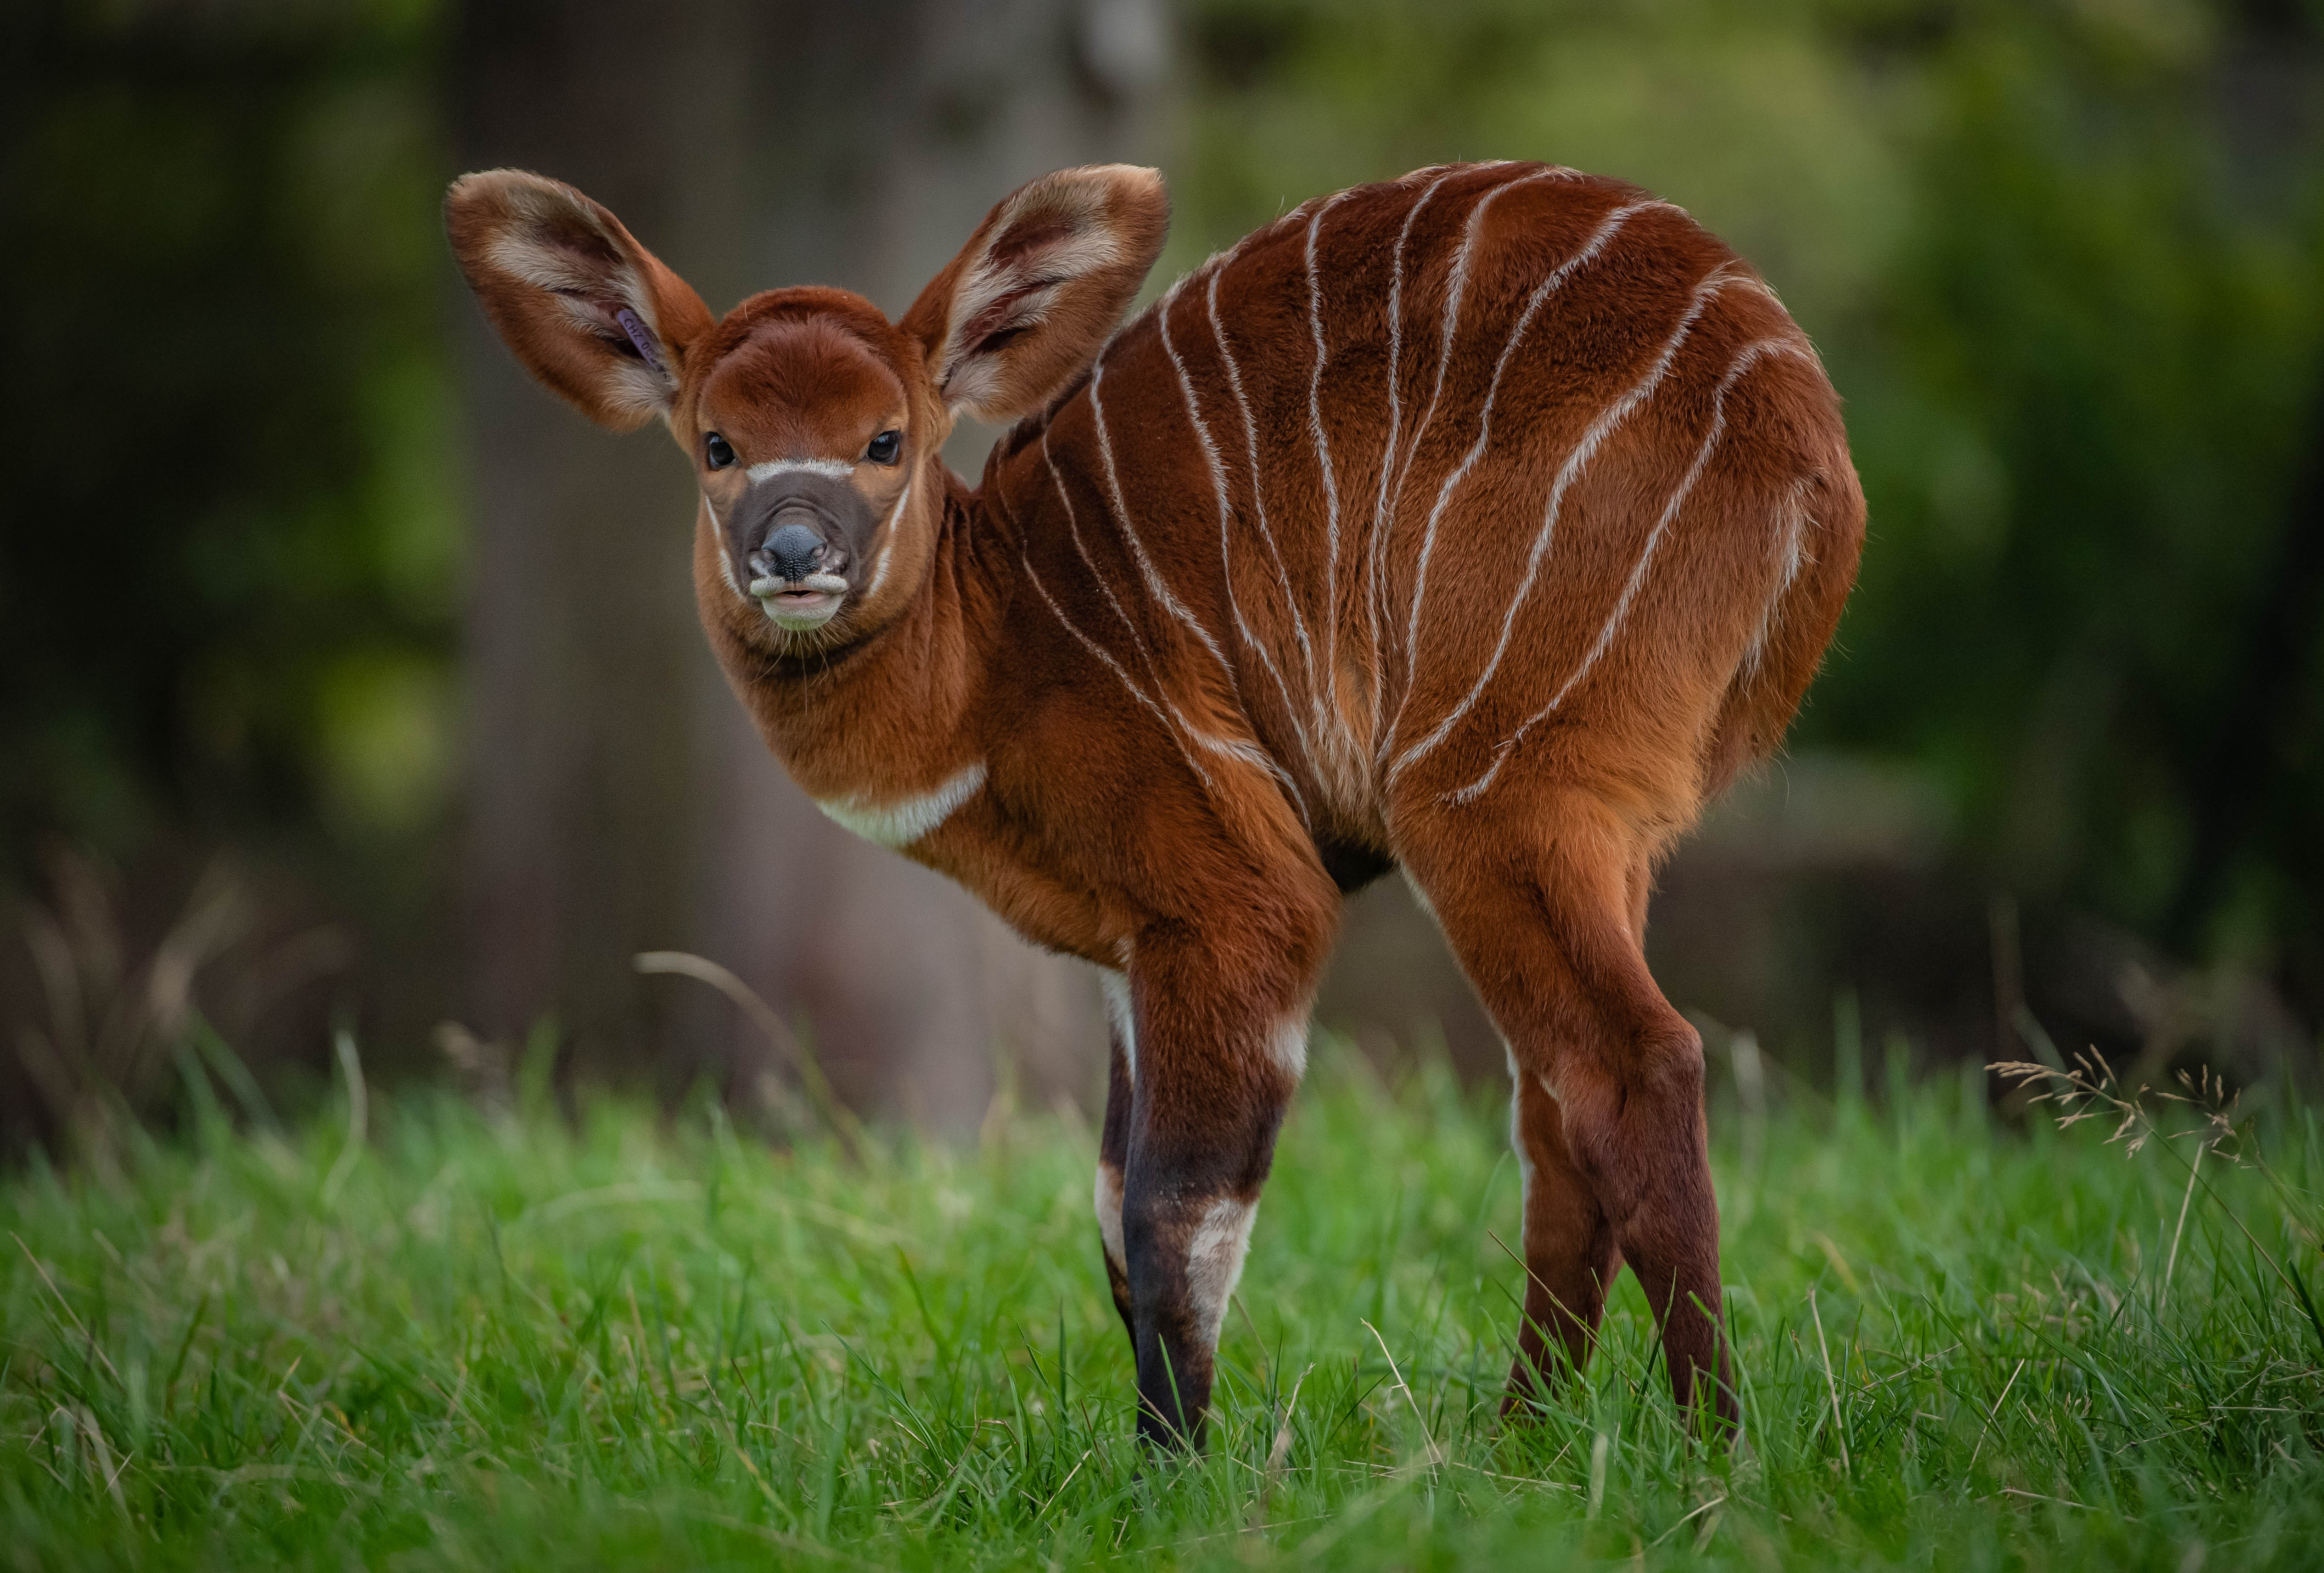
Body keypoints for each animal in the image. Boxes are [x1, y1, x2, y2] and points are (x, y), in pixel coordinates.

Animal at [443, 159, 1859, 1449]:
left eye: (884, 439)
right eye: (718, 443)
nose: (794, 556)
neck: (995, 644)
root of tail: (1810, 461)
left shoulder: (1239, 901)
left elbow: (1175, 1214)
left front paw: (1172, 1475)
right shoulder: (1131, 950)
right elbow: (1113, 1211)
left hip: (1487, 788)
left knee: (1632, 1065)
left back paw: (1708, 1453)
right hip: (1595, 828)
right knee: (1550, 1104)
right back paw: (1520, 1450)